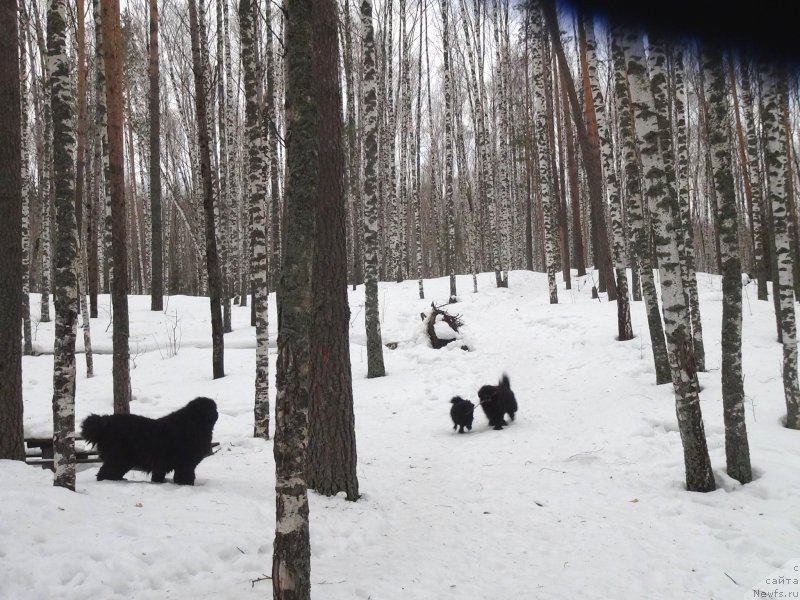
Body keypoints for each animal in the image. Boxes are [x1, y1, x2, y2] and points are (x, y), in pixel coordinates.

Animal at [81, 396, 219, 486]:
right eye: (212, 408)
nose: (217, 413)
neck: (193, 424)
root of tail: (104, 424)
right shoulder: (185, 463)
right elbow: (186, 476)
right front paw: (186, 485)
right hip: (118, 458)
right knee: (105, 473)